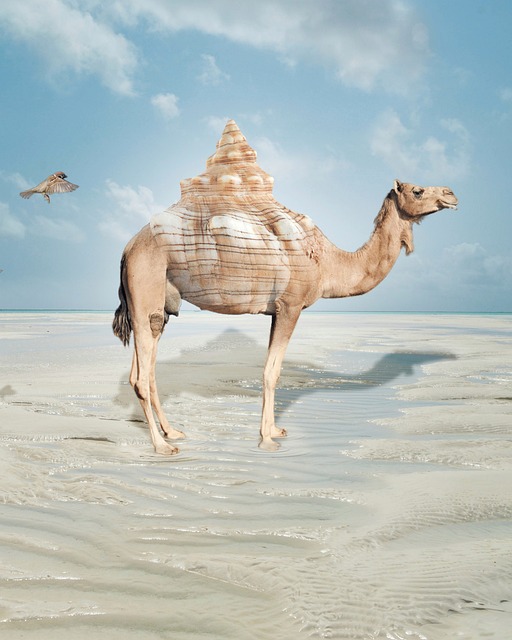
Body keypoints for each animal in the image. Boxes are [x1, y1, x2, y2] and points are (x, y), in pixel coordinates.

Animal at [113, 120, 458, 454]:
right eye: (417, 190)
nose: (451, 193)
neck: (329, 262)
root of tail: (127, 249)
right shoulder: (290, 305)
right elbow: (272, 372)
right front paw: (267, 439)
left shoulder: (275, 311)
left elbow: (271, 368)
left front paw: (276, 430)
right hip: (147, 285)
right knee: (141, 375)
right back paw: (162, 446)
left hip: (159, 304)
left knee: (145, 369)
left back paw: (173, 431)